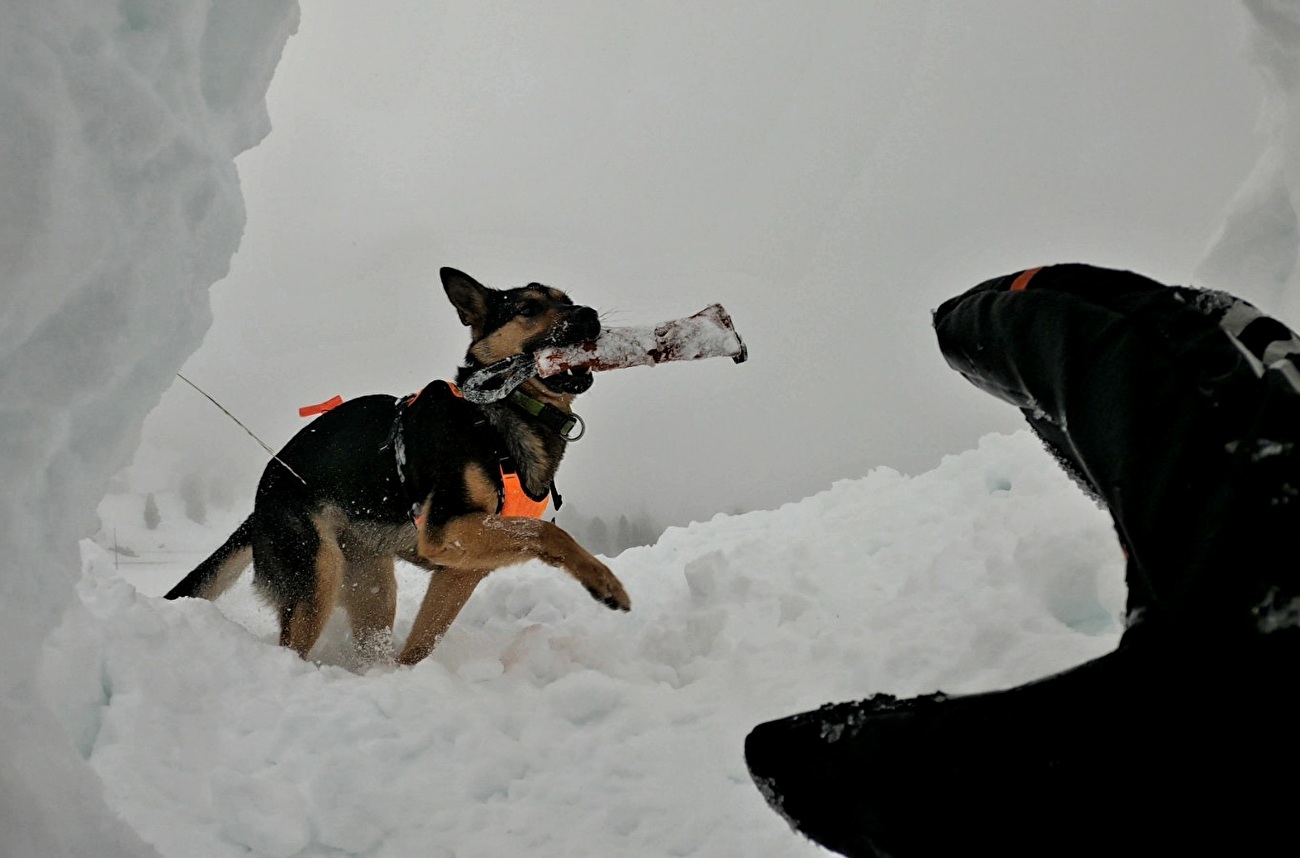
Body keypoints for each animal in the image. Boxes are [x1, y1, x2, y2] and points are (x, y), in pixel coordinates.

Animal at [165, 266, 631, 663]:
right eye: (528, 309)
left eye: (567, 300)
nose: (589, 316)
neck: (496, 416)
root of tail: (260, 502)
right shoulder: (445, 529)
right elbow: (549, 533)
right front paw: (604, 582)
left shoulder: (460, 567)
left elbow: (422, 643)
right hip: (317, 580)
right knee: (293, 644)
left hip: (373, 586)